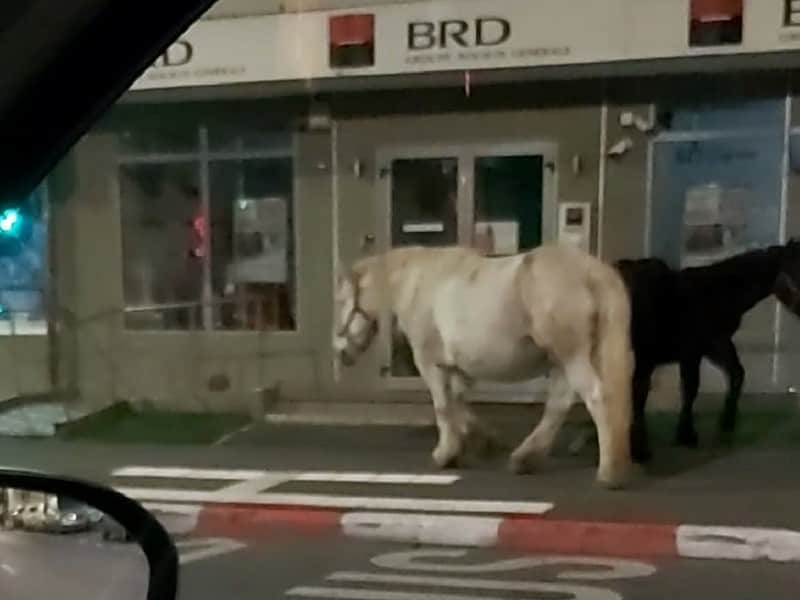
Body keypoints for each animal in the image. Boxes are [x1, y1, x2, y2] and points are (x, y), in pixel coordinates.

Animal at [334, 244, 636, 488]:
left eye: (342, 301)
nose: (340, 353)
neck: (418, 283)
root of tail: (592, 272)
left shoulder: (432, 364)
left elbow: (443, 407)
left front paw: (445, 454)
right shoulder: (456, 368)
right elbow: (458, 403)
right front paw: (481, 442)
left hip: (571, 357)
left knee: (596, 398)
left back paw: (608, 473)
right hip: (561, 361)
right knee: (558, 406)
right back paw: (525, 458)